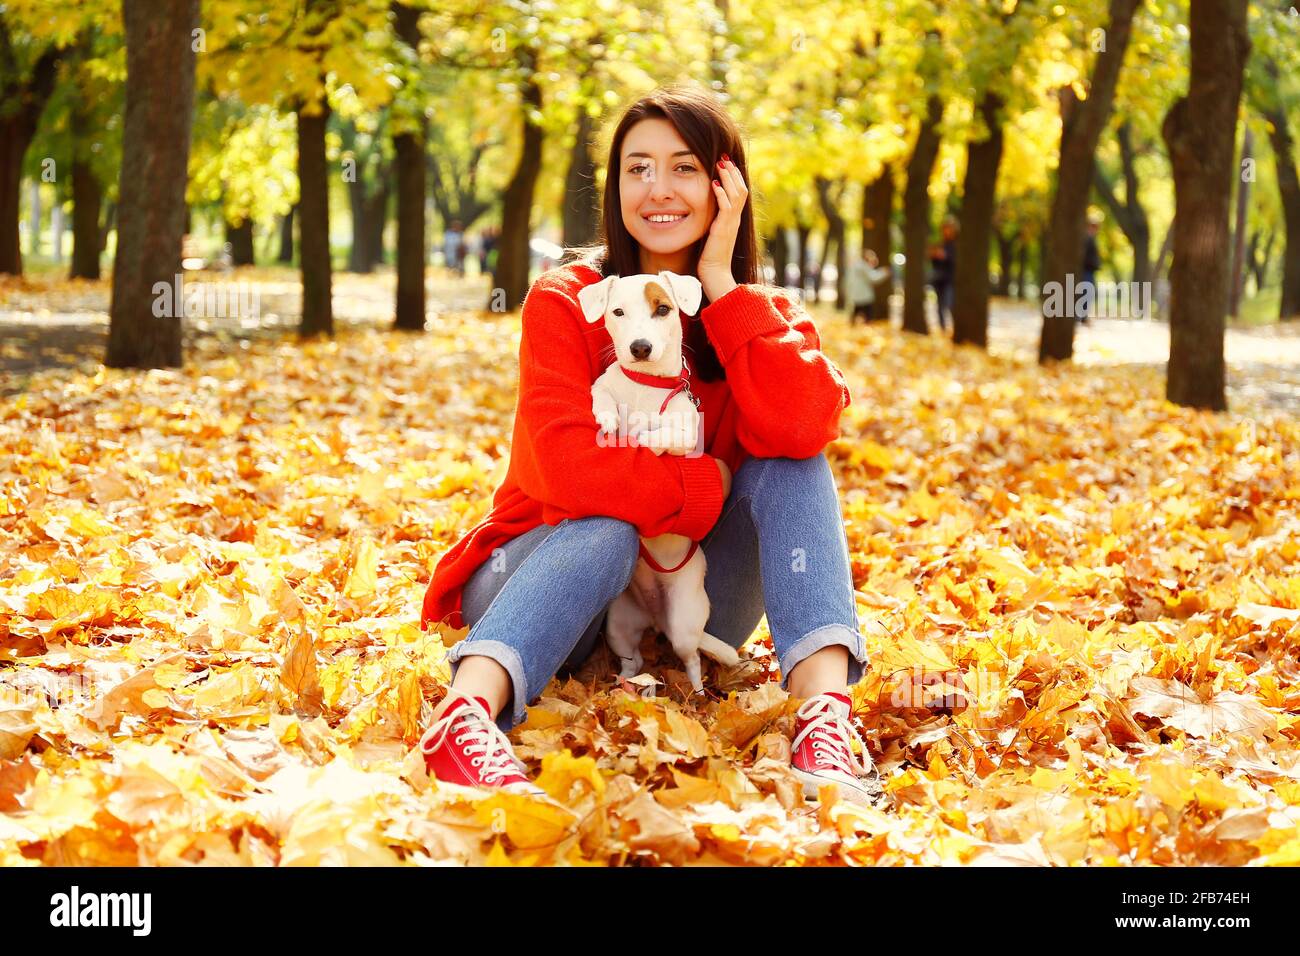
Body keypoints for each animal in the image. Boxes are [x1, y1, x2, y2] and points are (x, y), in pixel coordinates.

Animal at [579, 273, 743, 691]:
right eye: (618, 312)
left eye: (663, 309)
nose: (640, 347)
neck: (645, 386)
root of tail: (655, 617)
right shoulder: (605, 386)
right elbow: (602, 393)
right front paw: (609, 418)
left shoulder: (685, 434)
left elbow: (660, 433)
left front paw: (639, 432)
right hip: (619, 625)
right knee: (634, 661)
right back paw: (625, 686)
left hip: (684, 622)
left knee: (693, 659)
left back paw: (697, 692)